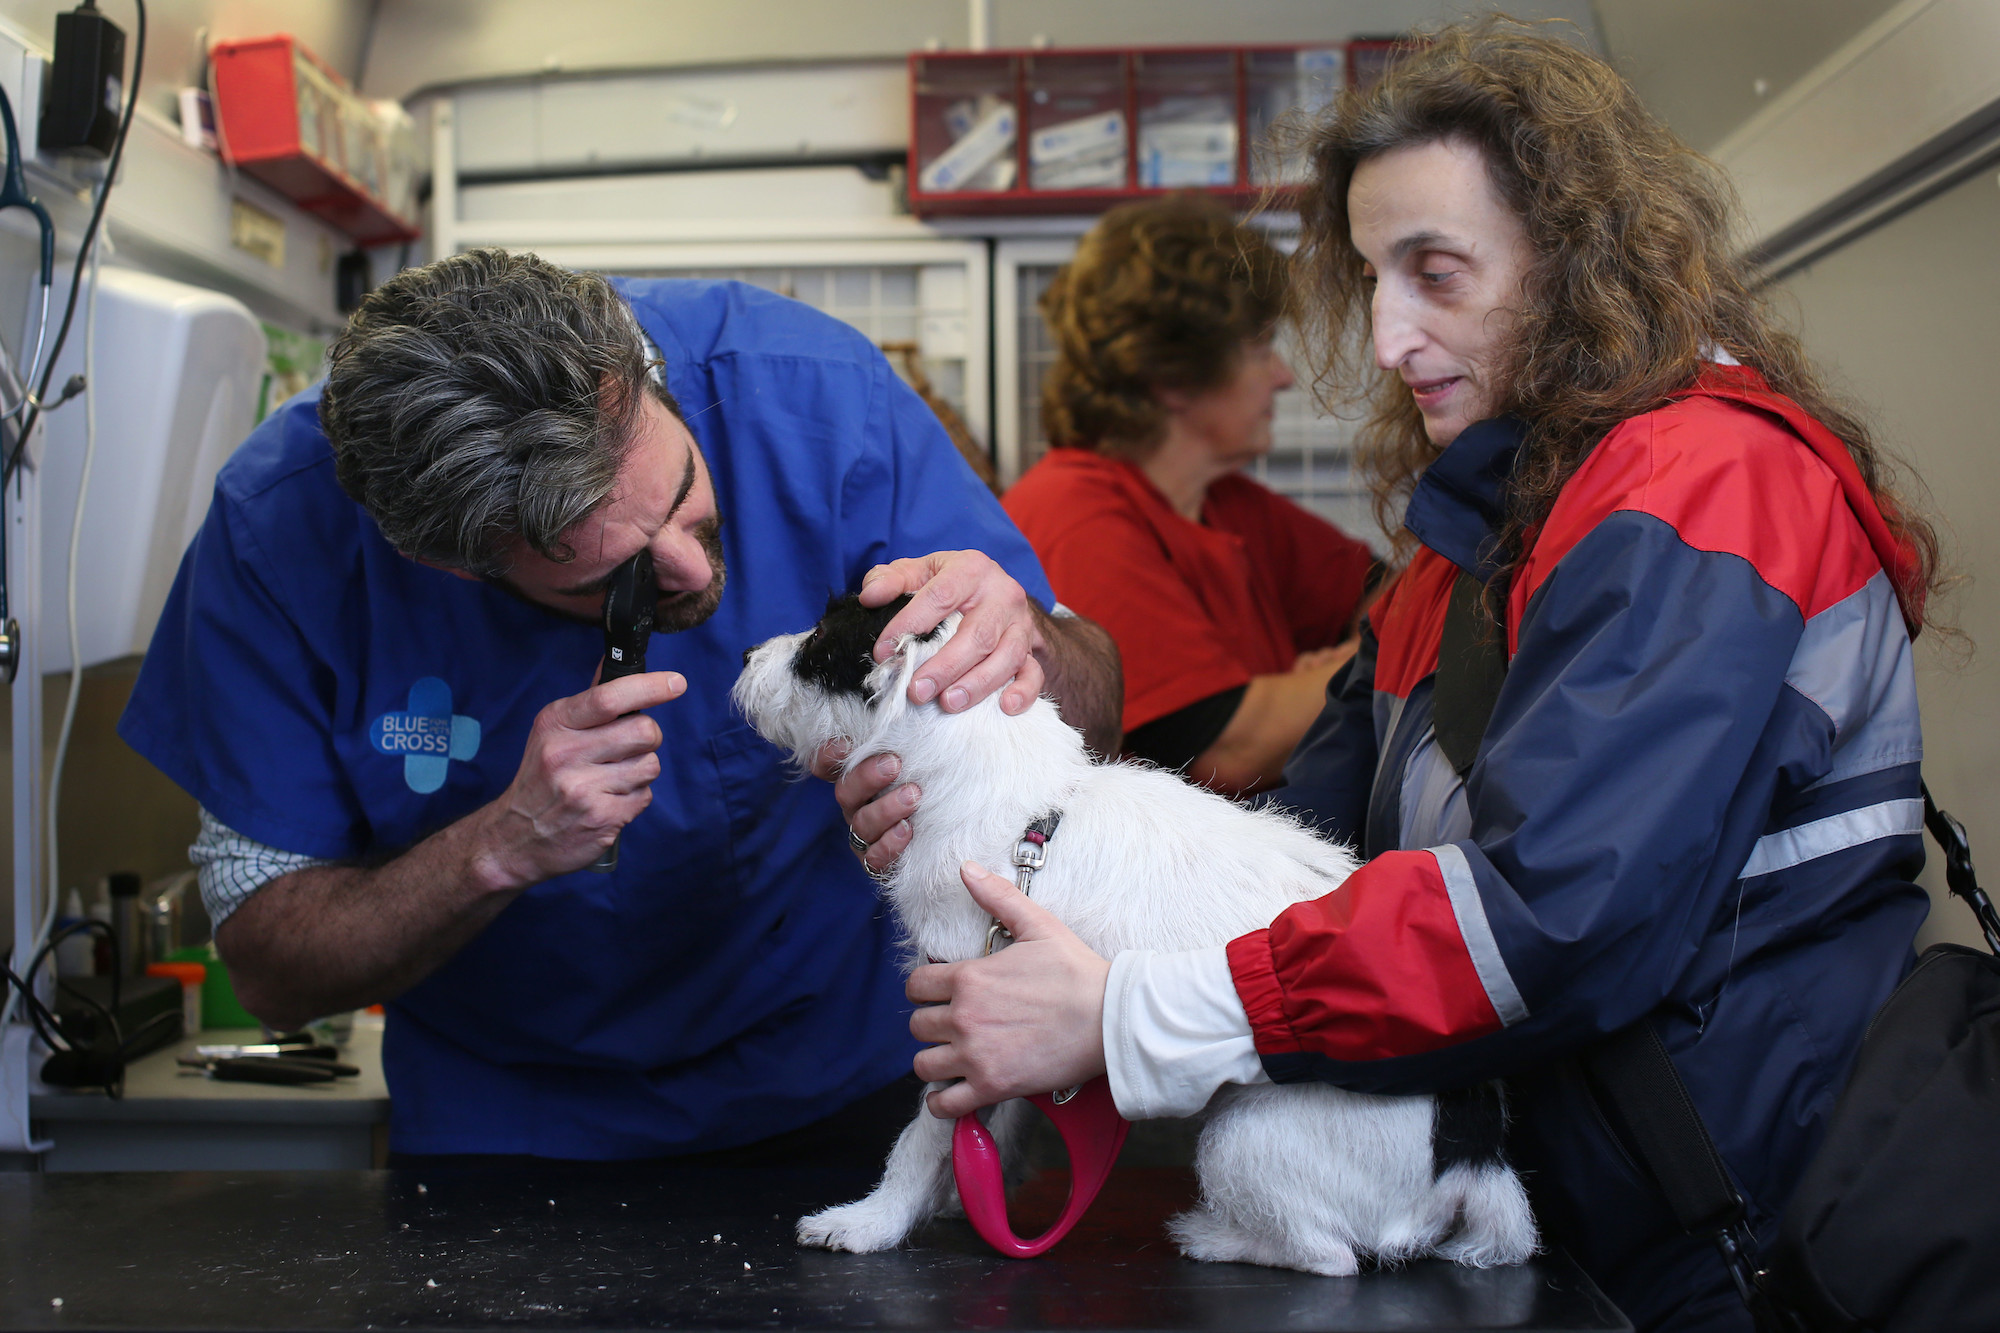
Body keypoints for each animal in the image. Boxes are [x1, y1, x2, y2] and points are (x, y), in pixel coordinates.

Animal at [736, 592, 1528, 1280]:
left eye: (817, 649)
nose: (745, 653)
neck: (1023, 806)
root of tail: (1477, 1156)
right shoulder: (998, 1024)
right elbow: (1003, 1109)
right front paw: (972, 1187)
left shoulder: (960, 998)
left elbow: (924, 1135)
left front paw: (873, 1219)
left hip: (1244, 1139)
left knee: (1328, 1254)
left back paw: (1216, 1237)